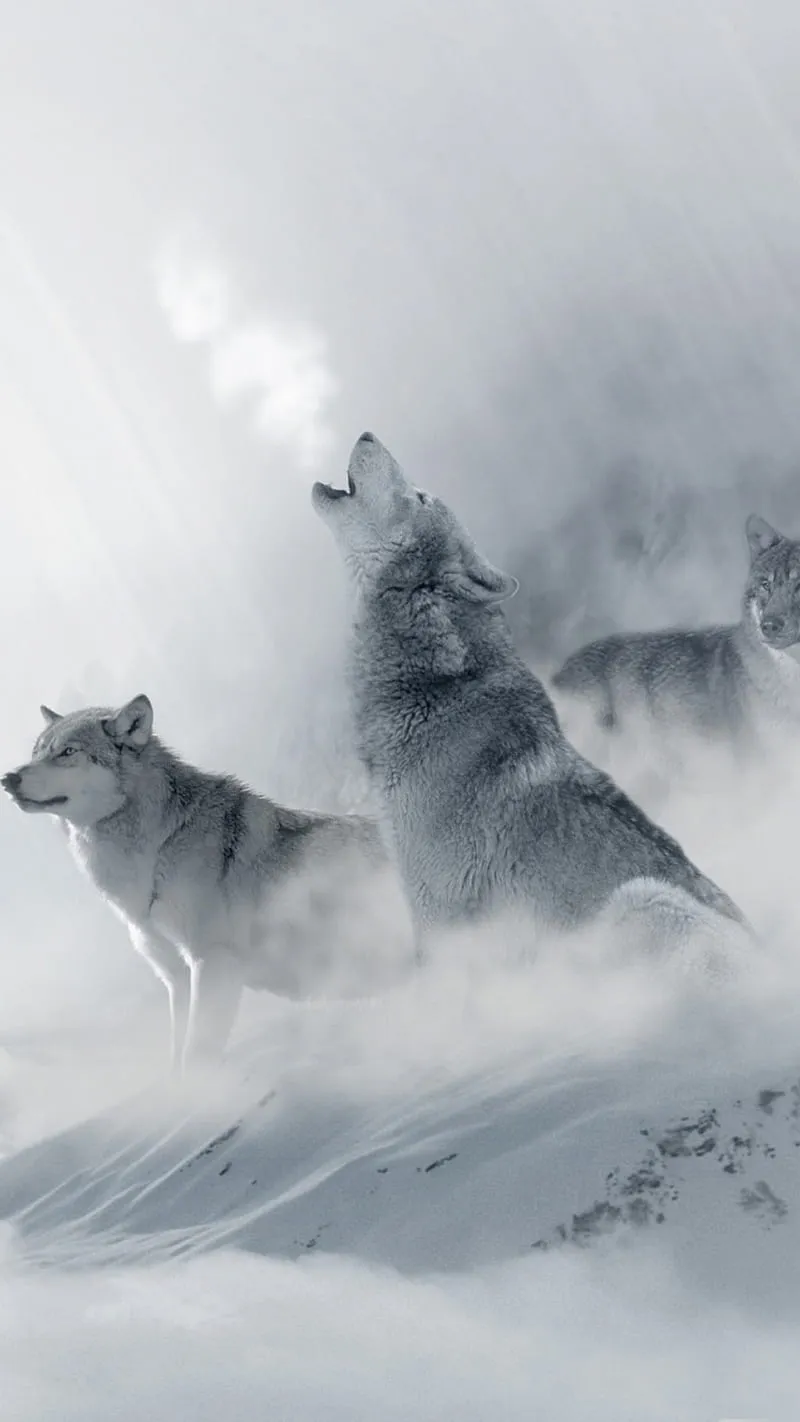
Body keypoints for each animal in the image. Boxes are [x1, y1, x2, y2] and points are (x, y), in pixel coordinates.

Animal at [2, 696, 412, 1073]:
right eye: (36, 752)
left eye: (67, 752)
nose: (9, 779)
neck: (158, 849)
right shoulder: (177, 980)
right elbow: (177, 1060)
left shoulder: (213, 964)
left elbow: (196, 1057)